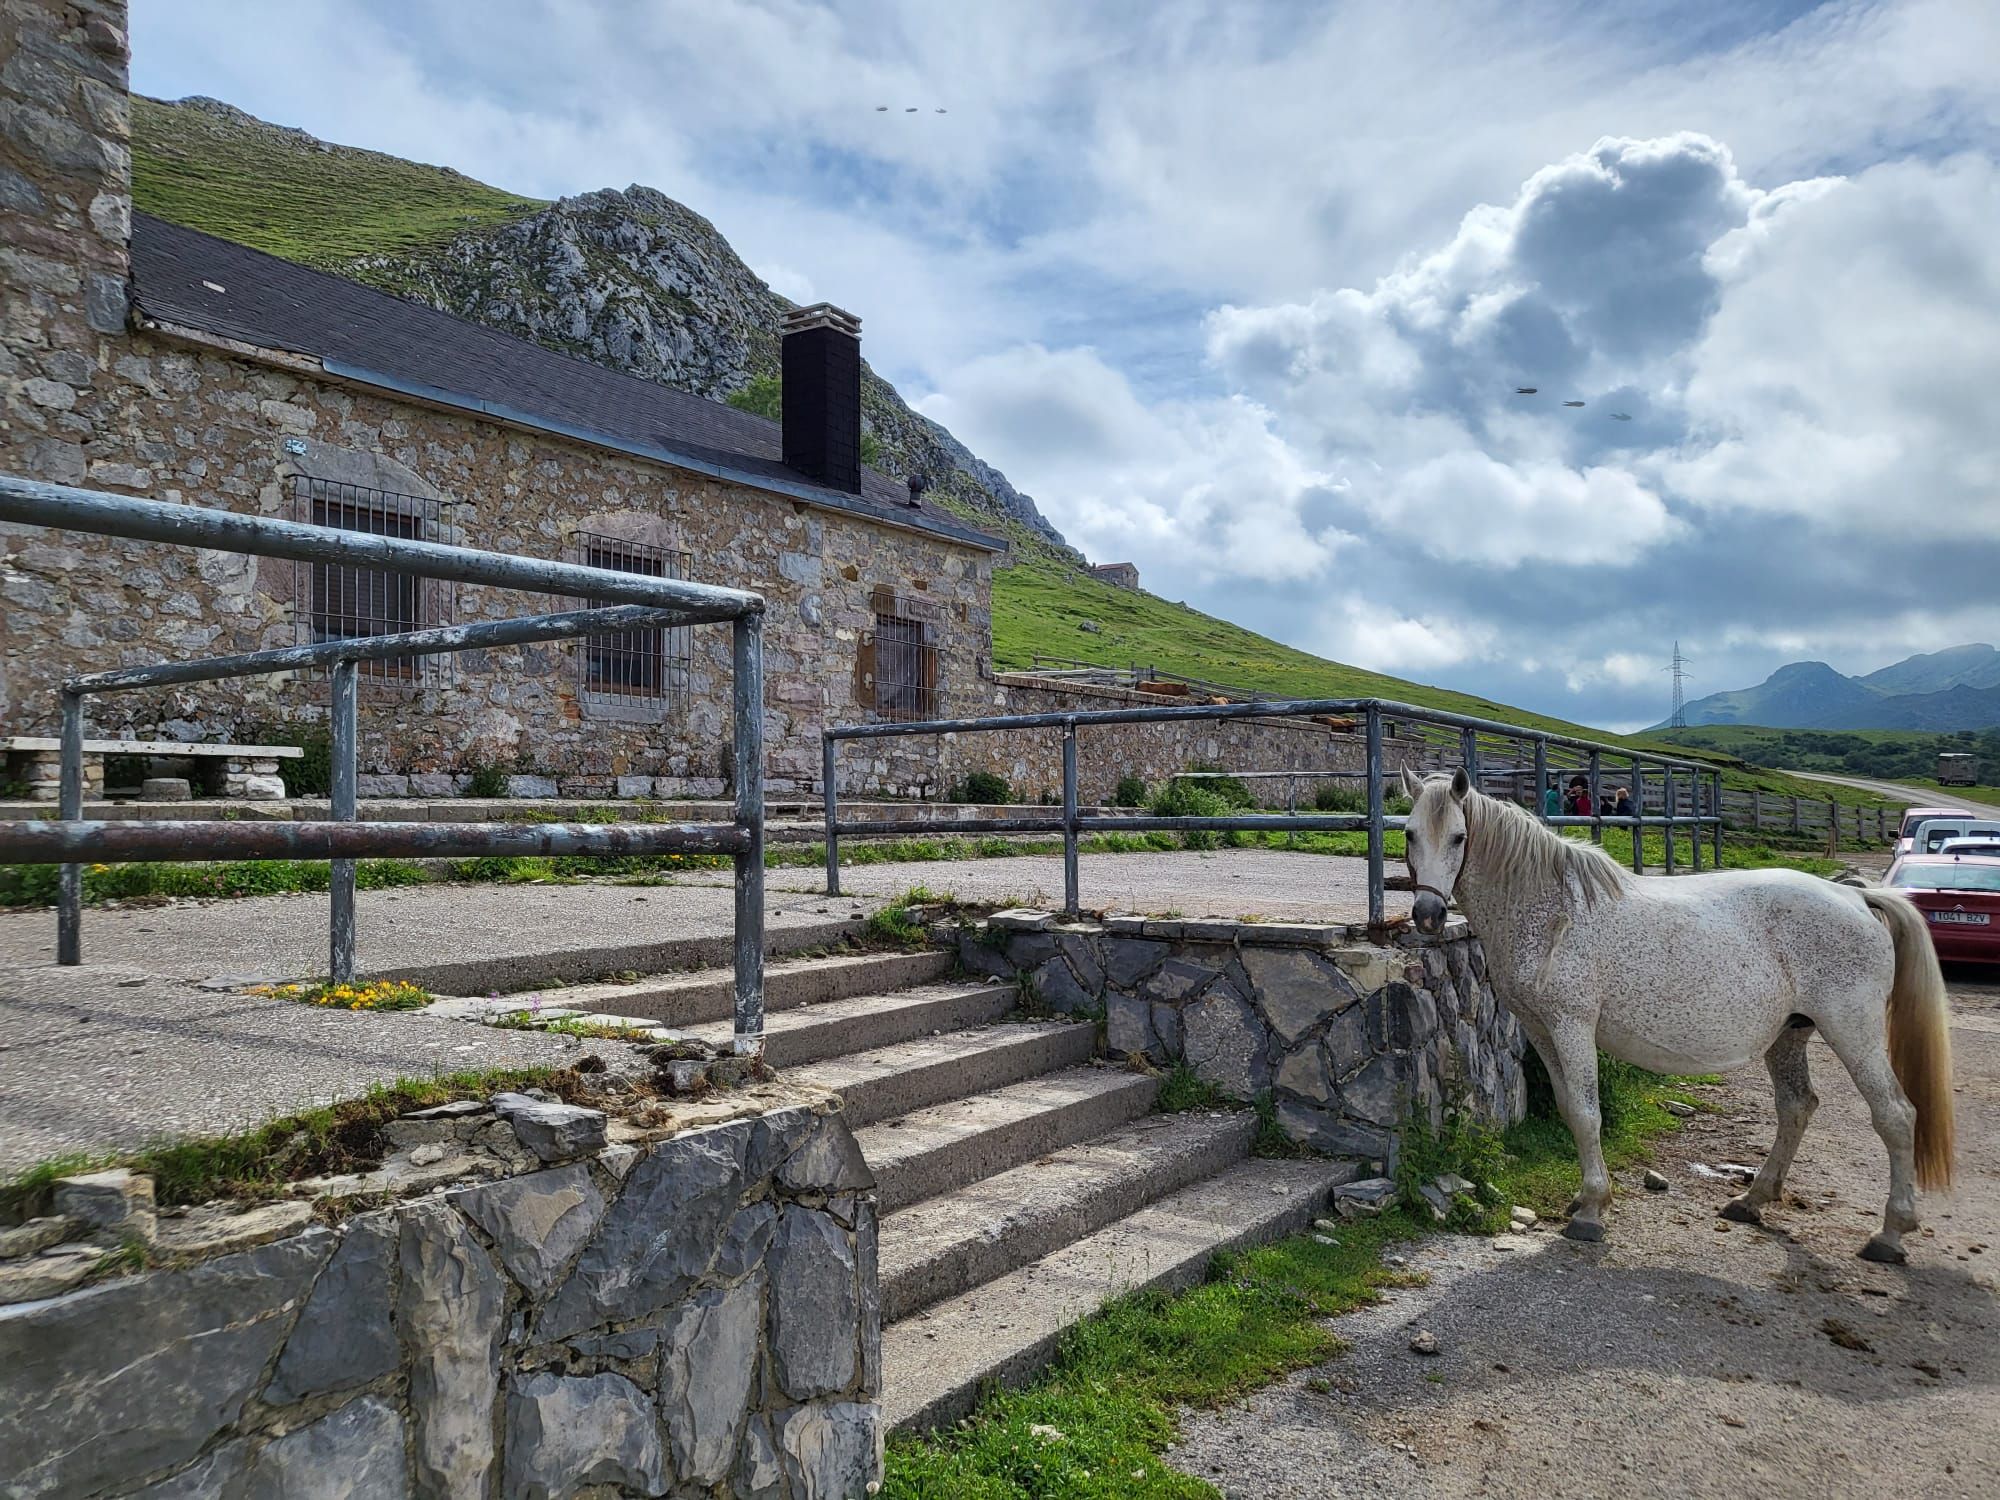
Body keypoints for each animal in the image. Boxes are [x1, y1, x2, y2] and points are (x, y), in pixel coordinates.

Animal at [1408, 768, 1952, 1264]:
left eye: (1458, 837)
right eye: (1410, 833)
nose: (1428, 916)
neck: (1552, 911)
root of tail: (1856, 896)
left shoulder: (1571, 1027)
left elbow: (1586, 1113)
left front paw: (1592, 1212)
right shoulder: (1542, 1031)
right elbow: (1569, 1109)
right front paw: (1583, 1200)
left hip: (1853, 1033)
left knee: (1895, 1115)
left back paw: (1890, 1234)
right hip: (1789, 1036)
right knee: (1797, 1107)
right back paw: (1752, 1200)